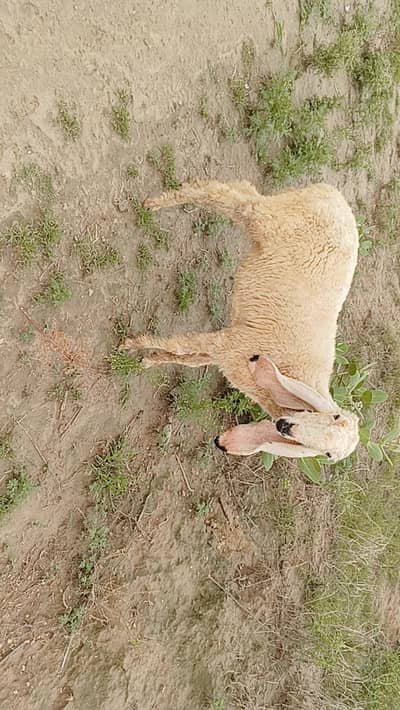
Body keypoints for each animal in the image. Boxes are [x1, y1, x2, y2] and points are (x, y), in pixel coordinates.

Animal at [120, 179, 360, 463]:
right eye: (333, 416)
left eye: (327, 455)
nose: (286, 426)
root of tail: (336, 197)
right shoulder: (234, 343)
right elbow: (182, 345)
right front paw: (132, 344)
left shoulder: (228, 351)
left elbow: (191, 357)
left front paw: (150, 359)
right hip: (267, 218)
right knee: (228, 196)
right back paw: (157, 203)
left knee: (243, 191)